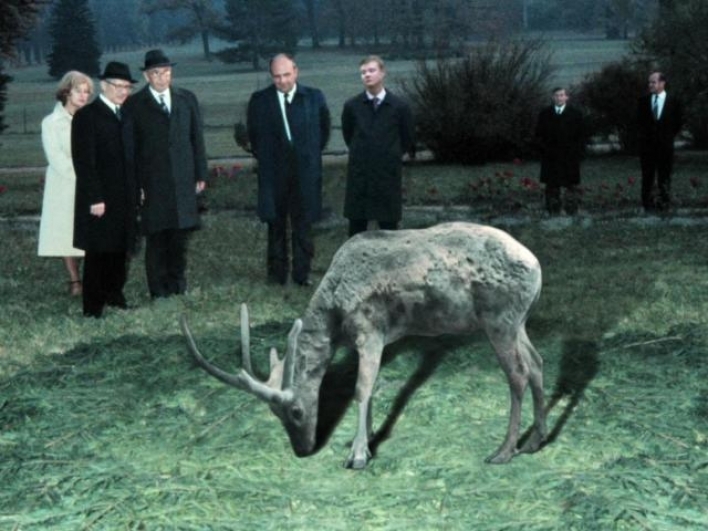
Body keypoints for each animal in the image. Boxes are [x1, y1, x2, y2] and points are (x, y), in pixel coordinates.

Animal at [180, 222, 544, 468]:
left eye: (296, 411)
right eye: (274, 413)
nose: (301, 451)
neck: (335, 318)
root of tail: (537, 268)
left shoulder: (371, 330)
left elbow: (361, 388)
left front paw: (356, 455)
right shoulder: (371, 340)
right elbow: (371, 385)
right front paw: (366, 440)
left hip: (499, 319)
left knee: (518, 374)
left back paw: (504, 451)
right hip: (519, 321)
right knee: (537, 363)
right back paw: (535, 441)